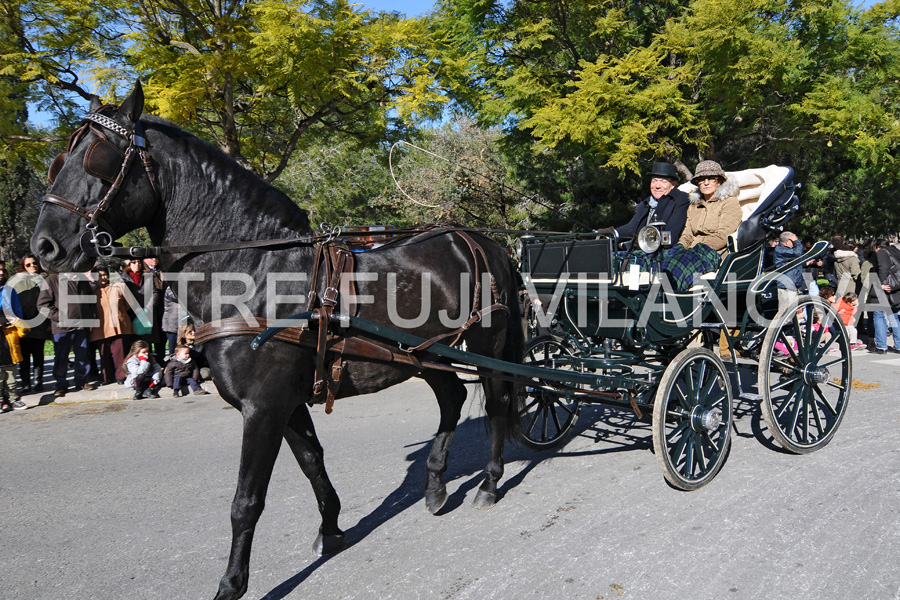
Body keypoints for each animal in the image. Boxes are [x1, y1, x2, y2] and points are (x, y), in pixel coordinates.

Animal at [31, 81, 524, 600]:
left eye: (97, 159)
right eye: (60, 160)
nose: (44, 245)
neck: (253, 271)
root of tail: (481, 241)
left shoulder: (263, 407)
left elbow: (246, 500)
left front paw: (231, 584)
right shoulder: (284, 403)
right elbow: (311, 462)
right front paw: (331, 529)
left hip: (486, 350)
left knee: (495, 404)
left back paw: (489, 483)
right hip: (424, 356)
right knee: (451, 399)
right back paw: (434, 486)